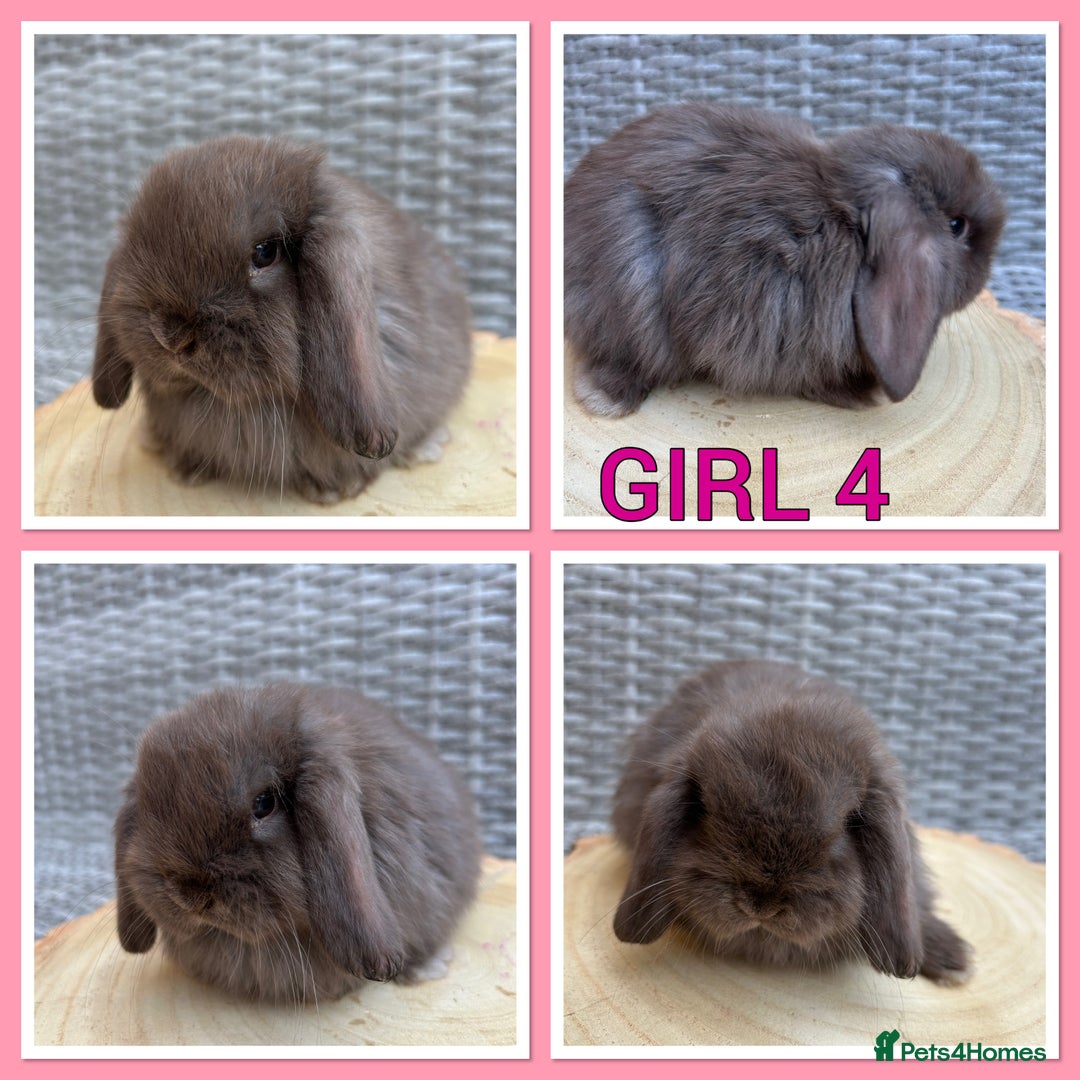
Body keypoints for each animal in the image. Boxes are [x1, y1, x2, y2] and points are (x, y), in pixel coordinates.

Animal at [565, 104, 1006, 415]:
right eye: (957, 225)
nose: (984, 278)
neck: (845, 224)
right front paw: (859, 395)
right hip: (632, 297)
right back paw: (606, 399)